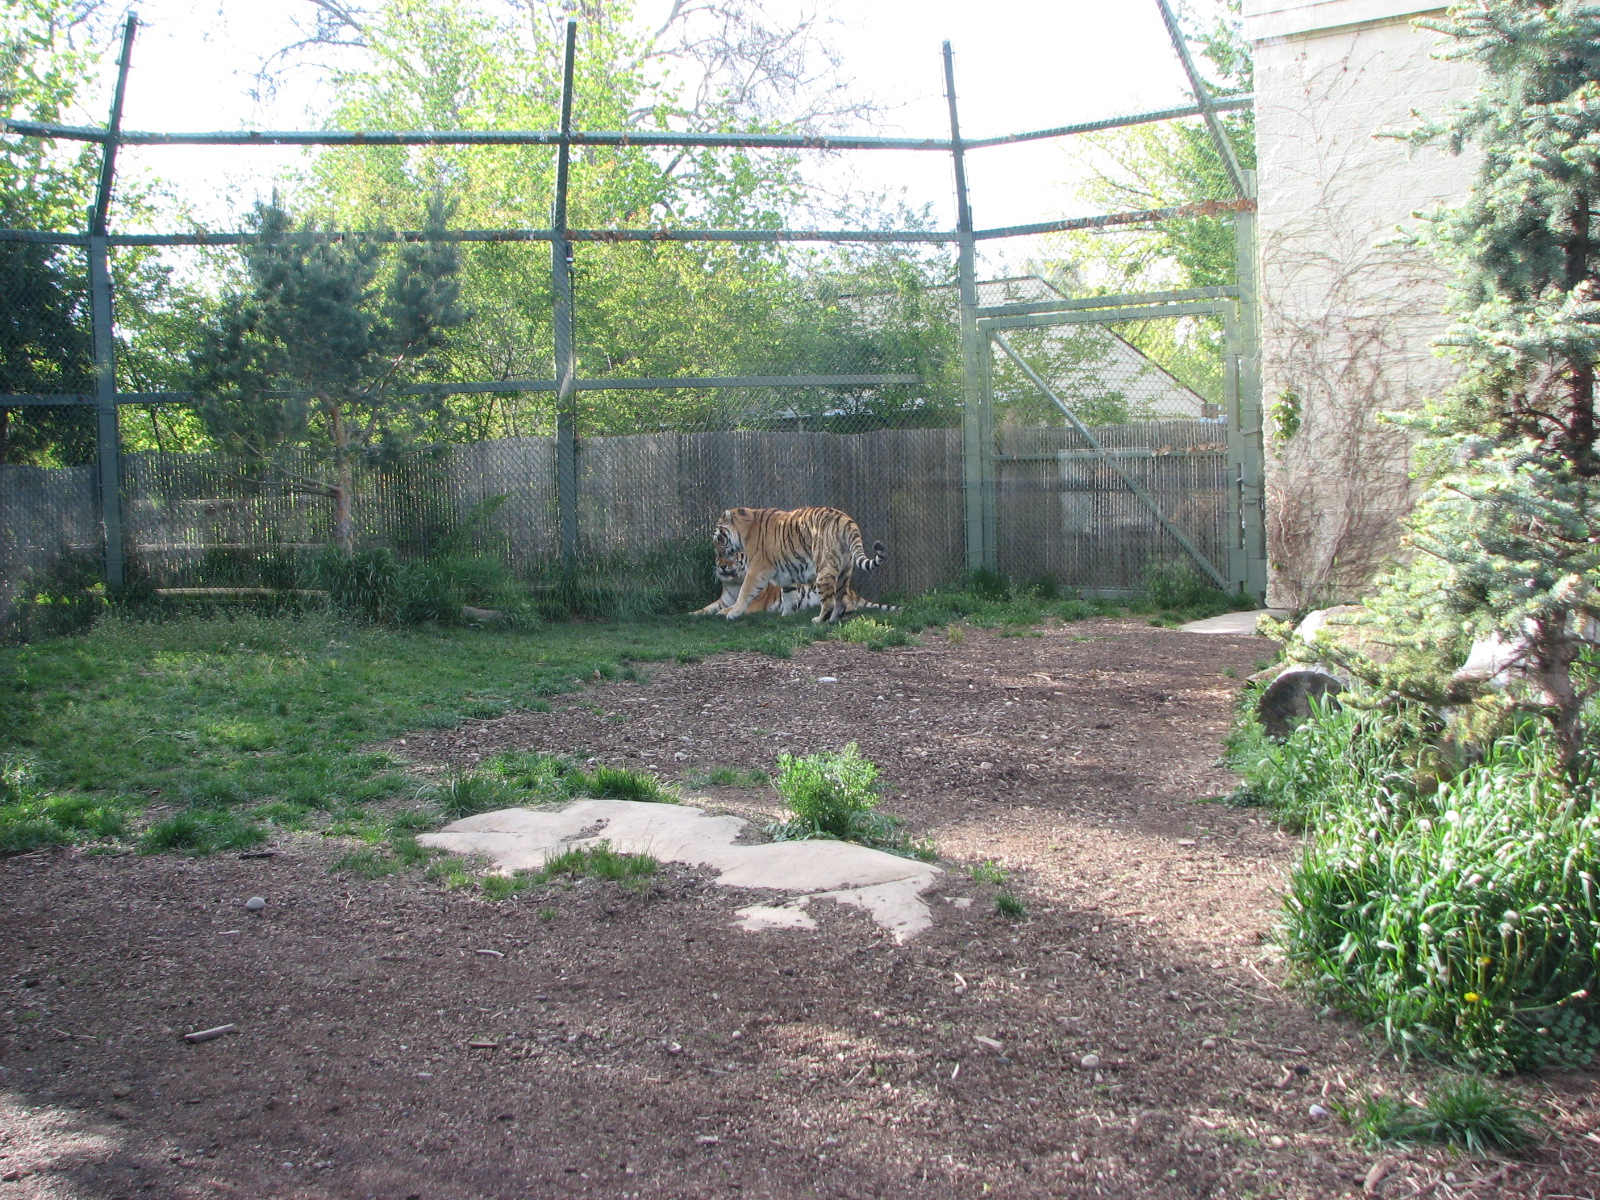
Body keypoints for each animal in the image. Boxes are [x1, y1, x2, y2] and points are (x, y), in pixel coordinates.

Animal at [691, 547, 898, 617]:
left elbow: (733, 608)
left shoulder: (755, 604)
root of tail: (854, 592)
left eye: (732, 555)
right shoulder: (722, 600)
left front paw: (723, 613)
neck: (734, 582)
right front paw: (693, 613)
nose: (722, 566)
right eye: (719, 556)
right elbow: (708, 608)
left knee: (845, 604)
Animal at [712, 505, 886, 623]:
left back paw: (819, 620)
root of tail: (846, 520)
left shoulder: (757, 569)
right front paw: (786, 615)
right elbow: (788, 595)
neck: (744, 531)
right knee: (841, 601)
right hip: (844, 571)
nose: (718, 557)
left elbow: (745, 591)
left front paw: (733, 613)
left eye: (719, 538)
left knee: (829, 601)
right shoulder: (786, 573)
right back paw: (832, 620)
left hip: (824, 570)